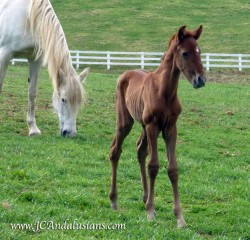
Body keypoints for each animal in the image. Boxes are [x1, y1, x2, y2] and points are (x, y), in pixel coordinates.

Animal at [0, 0, 90, 137]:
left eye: (79, 102)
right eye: (63, 100)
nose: (70, 133)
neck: (27, 17)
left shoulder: (35, 59)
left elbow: (32, 93)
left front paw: (33, 129)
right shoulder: (4, 55)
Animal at [109, 25, 205, 228]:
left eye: (199, 51)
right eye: (185, 53)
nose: (201, 80)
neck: (164, 91)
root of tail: (124, 74)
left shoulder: (170, 129)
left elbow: (173, 169)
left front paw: (180, 218)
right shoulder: (153, 126)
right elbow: (153, 166)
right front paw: (151, 212)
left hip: (143, 126)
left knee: (140, 150)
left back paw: (145, 197)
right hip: (126, 122)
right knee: (115, 151)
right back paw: (114, 200)